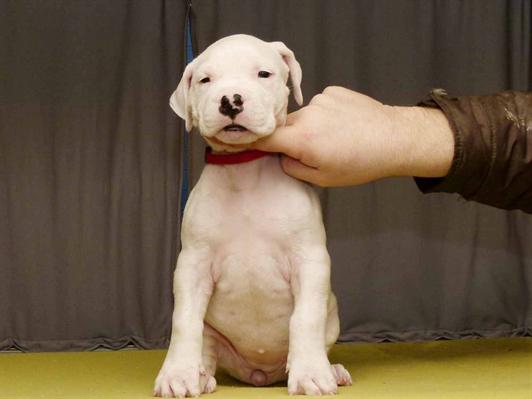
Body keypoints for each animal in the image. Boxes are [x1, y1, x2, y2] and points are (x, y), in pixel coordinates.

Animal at [154, 34, 354, 396]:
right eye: (205, 80)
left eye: (263, 74)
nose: (230, 101)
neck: (244, 168)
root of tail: (260, 374)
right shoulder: (192, 265)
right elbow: (185, 321)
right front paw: (177, 374)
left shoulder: (310, 260)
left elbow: (305, 318)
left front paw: (311, 373)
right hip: (215, 334)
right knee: (206, 345)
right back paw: (201, 375)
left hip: (332, 316)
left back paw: (331, 369)